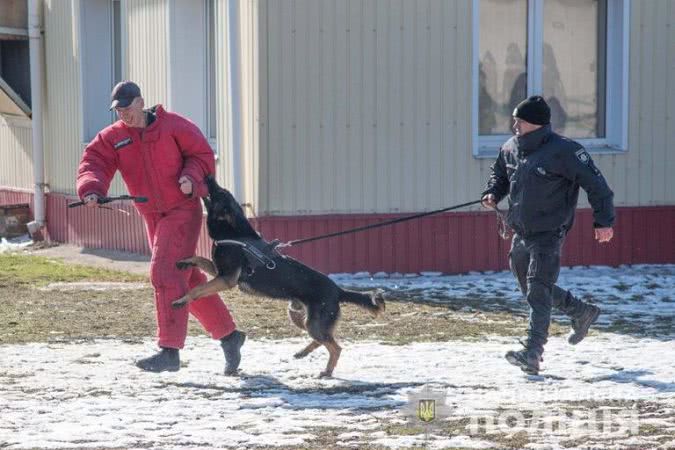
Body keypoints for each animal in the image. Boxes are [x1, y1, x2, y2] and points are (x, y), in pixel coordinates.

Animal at [174, 176, 386, 376]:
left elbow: (197, 289)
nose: (209, 176)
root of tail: (338, 290)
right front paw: (185, 261)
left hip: (314, 323)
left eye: (219, 192)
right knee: (323, 340)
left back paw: (326, 371)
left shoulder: (226, 279)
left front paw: (182, 300)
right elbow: (199, 258)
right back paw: (303, 353)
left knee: (335, 347)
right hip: (299, 317)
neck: (233, 232)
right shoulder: (219, 273)